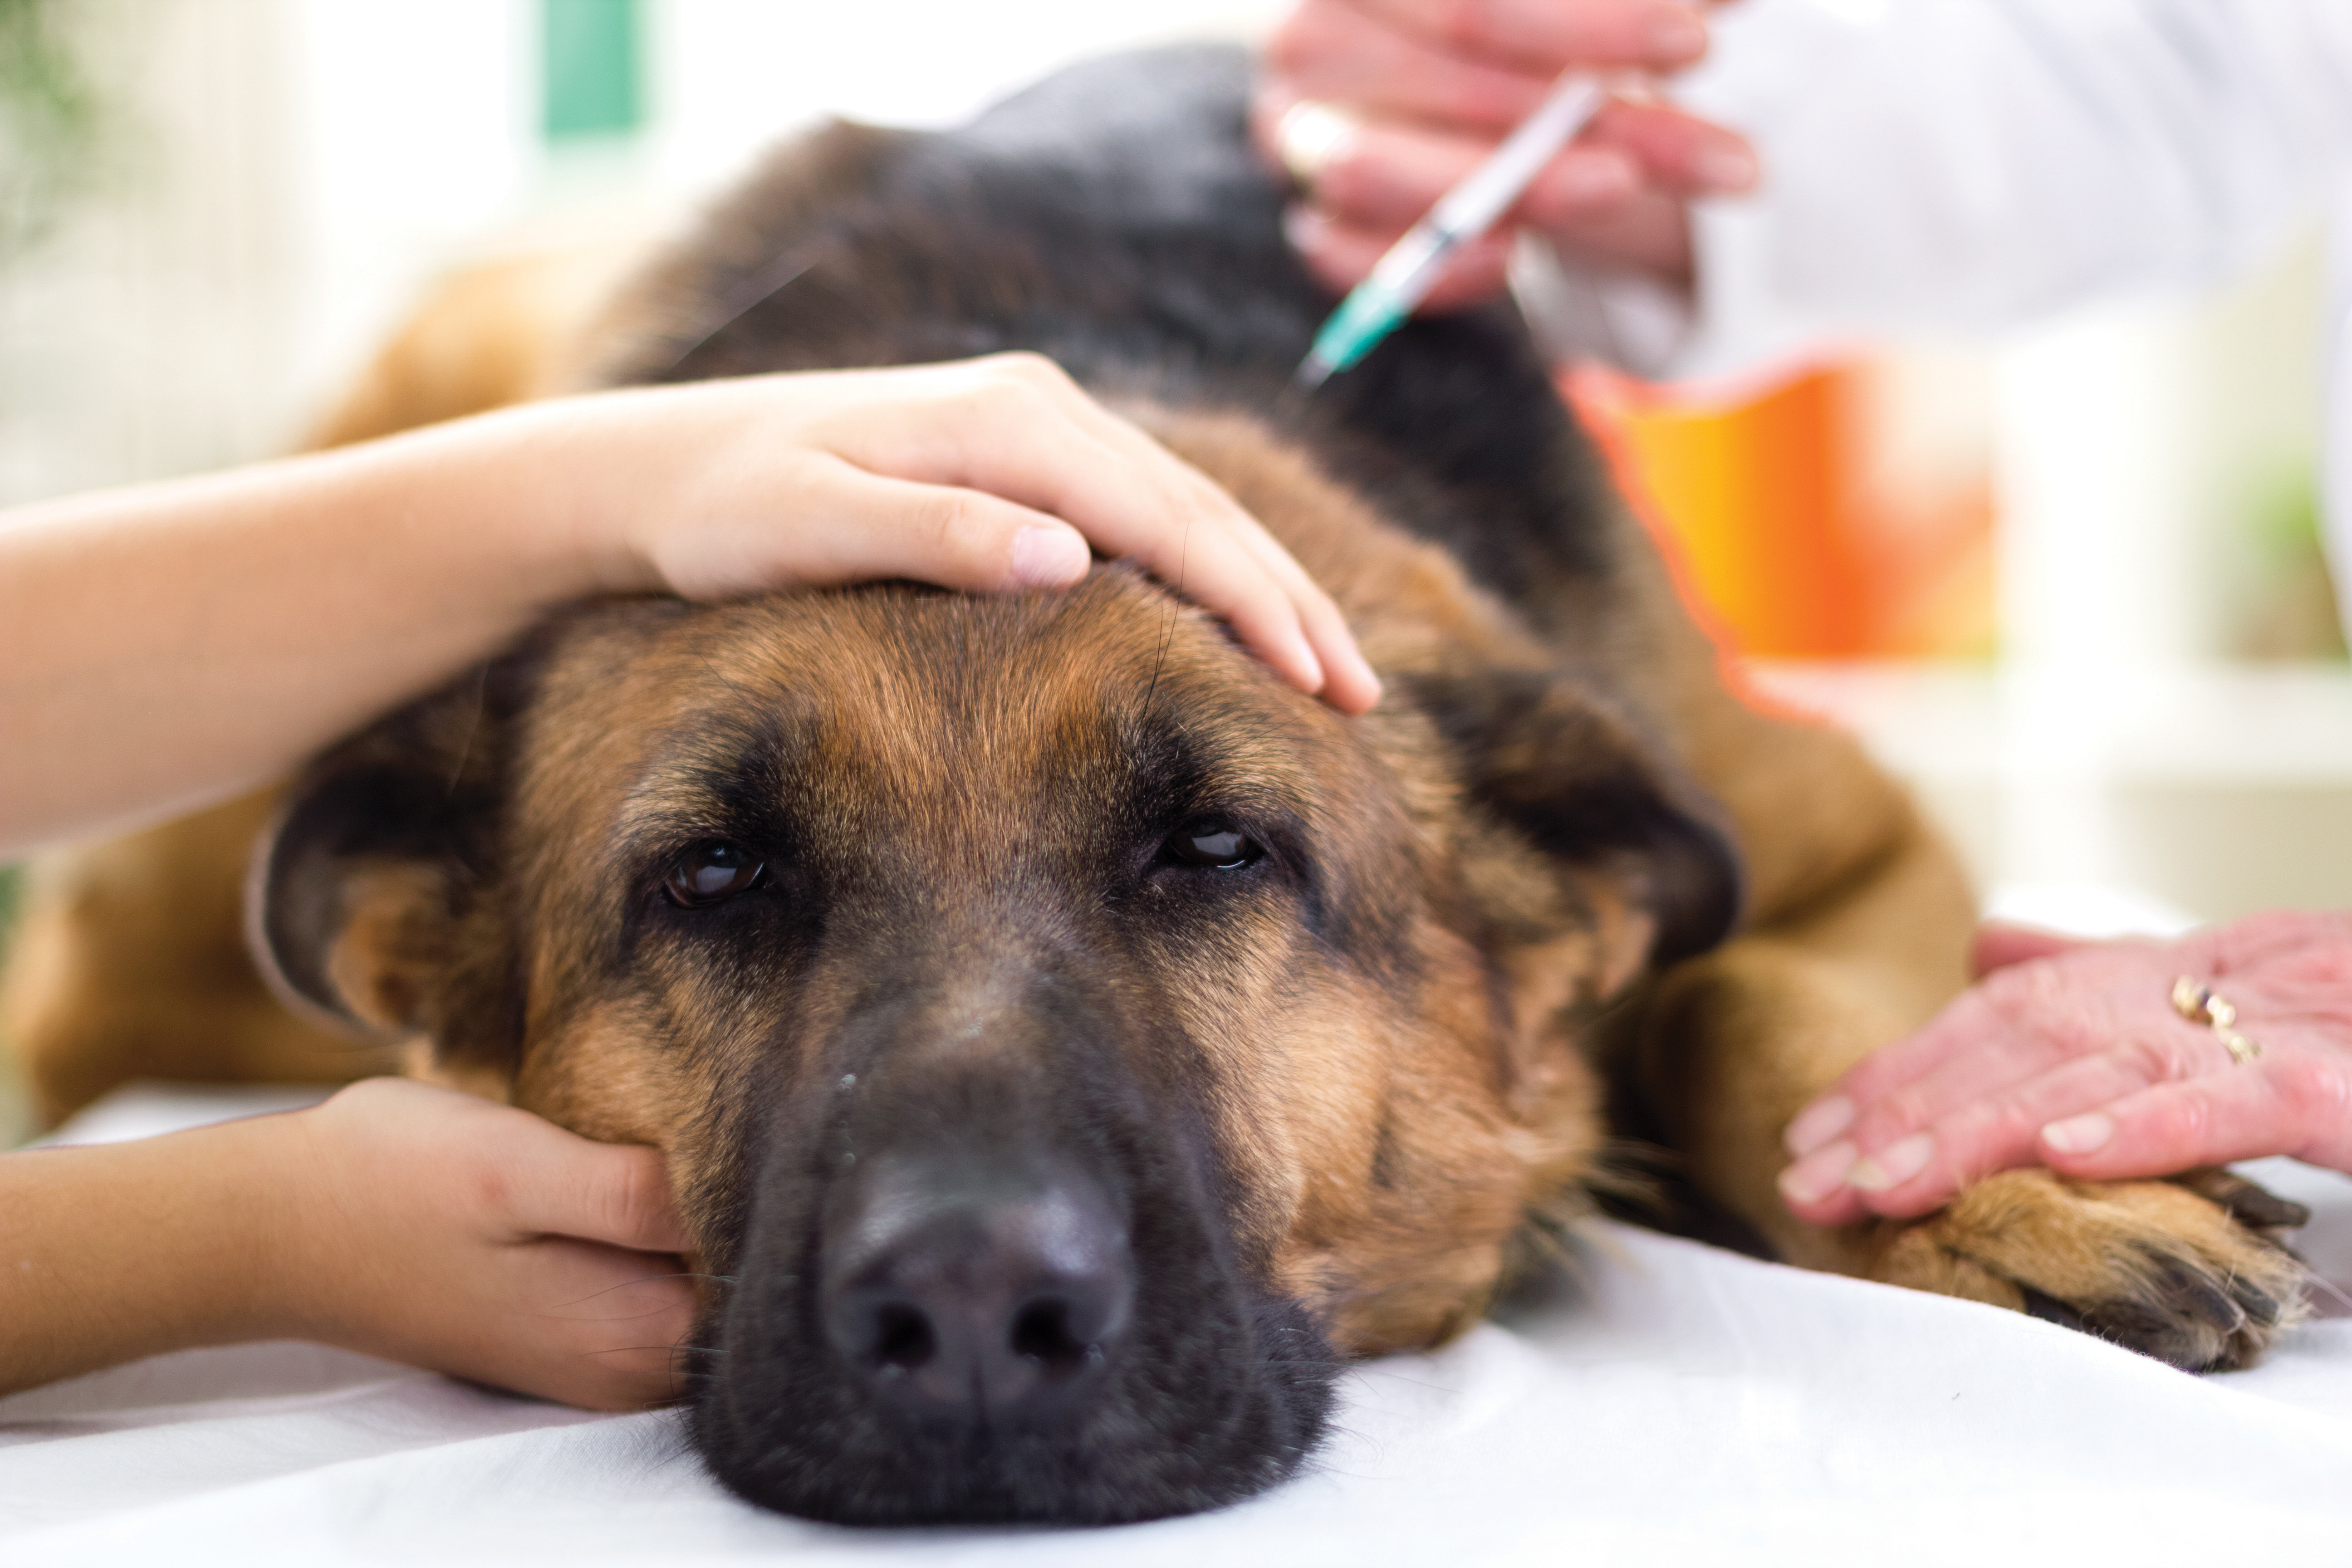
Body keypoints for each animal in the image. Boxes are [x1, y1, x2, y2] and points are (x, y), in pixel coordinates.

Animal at [0, 52, 2305, 1533]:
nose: (965, 1310)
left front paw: (1988, 1186)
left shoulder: (1841, 831)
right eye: (715, 876)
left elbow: (1753, 995)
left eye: (1215, 848)